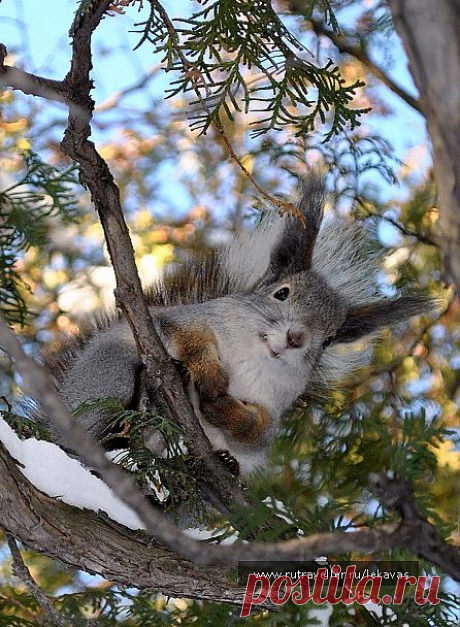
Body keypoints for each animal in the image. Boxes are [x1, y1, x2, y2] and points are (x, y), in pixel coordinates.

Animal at [41, 172, 434, 476]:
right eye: (281, 293)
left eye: (328, 340)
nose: (296, 337)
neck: (254, 356)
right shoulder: (182, 320)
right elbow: (190, 337)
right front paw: (210, 374)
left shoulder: (273, 410)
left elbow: (255, 432)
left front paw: (224, 411)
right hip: (106, 374)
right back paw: (131, 415)